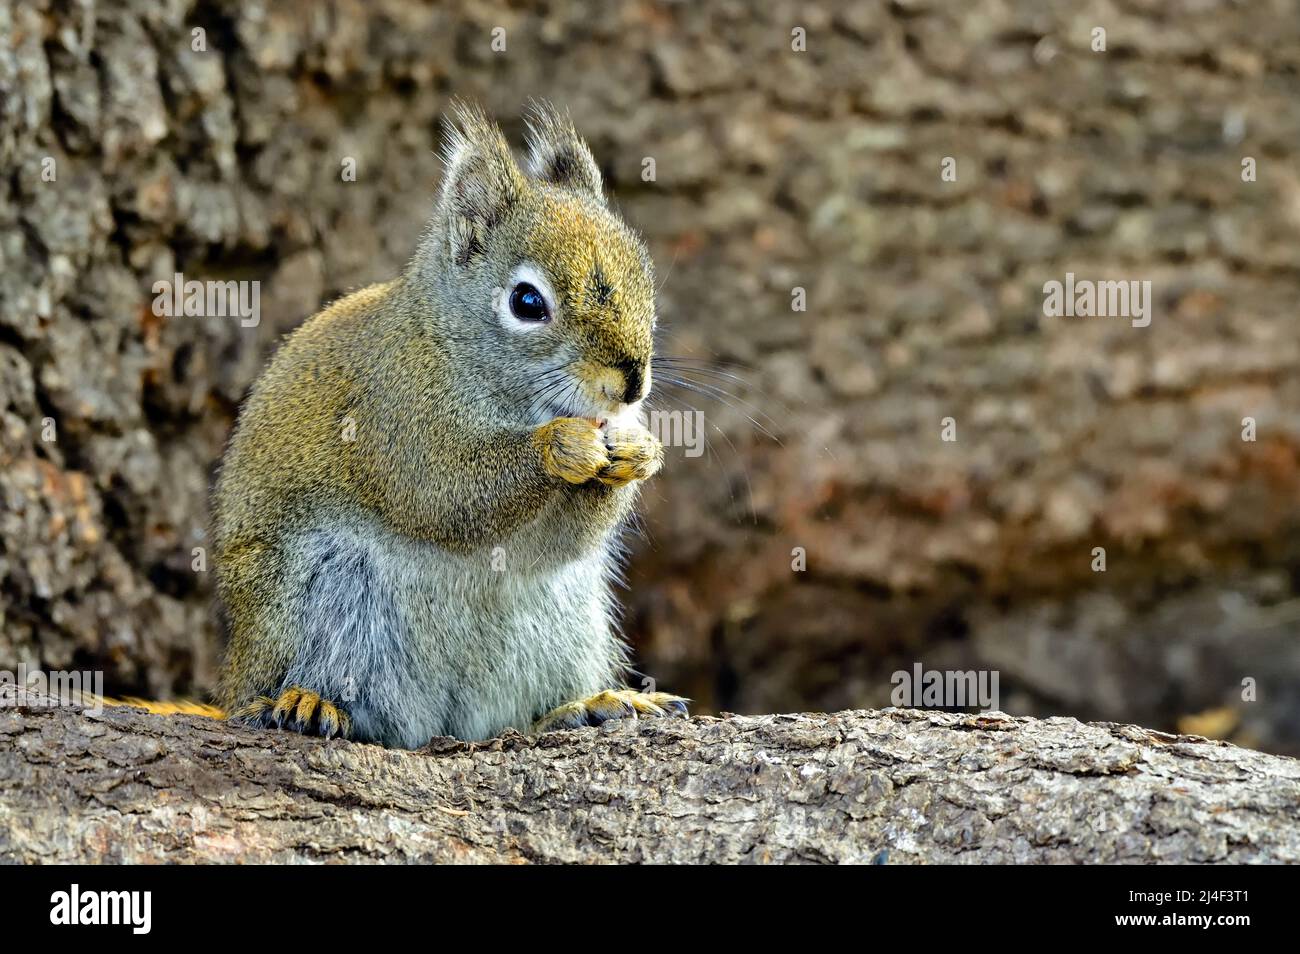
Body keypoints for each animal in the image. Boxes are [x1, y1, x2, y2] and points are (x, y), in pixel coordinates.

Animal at [115, 103, 687, 748]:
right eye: (527, 303)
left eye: (644, 275)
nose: (631, 383)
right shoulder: (391, 419)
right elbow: (444, 494)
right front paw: (560, 447)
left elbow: (562, 542)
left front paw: (639, 452)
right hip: (316, 606)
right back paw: (303, 702)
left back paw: (585, 705)